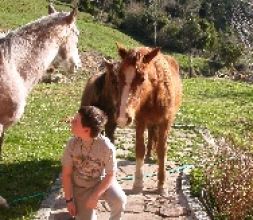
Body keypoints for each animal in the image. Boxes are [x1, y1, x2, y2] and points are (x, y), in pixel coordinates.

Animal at [115, 43, 183, 195]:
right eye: (119, 76)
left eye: (142, 78)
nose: (122, 117)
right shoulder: (140, 121)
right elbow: (140, 148)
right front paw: (138, 183)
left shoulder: (165, 122)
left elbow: (162, 150)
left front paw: (162, 185)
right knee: (152, 134)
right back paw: (149, 155)